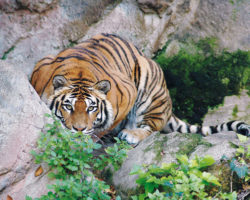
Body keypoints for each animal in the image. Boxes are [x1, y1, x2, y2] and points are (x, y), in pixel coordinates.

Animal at [31, 33, 250, 145]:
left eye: (91, 108)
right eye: (68, 106)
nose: (78, 130)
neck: (79, 73)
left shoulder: (128, 94)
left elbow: (106, 126)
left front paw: (96, 136)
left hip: (149, 88)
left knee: (153, 128)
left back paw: (130, 134)